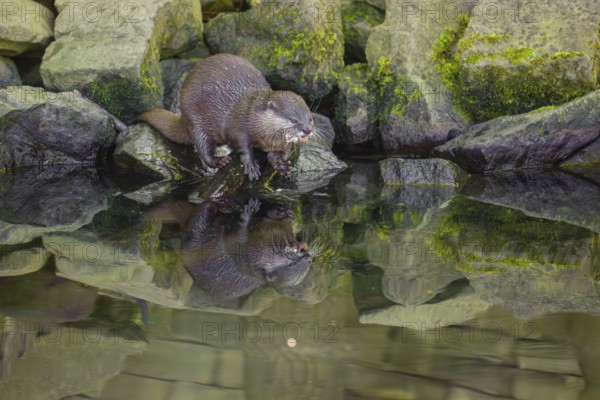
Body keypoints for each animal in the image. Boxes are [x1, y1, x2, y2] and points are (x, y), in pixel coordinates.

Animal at [136, 52, 314, 180]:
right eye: (293, 120)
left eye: (310, 118)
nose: (307, 130)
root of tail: (183, 117)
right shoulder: (239, 127)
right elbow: (242, 146)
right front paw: (250, 166)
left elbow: (281, 152)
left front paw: (280, 164)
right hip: (195, 122)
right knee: (203, 148)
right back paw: (219, 160)